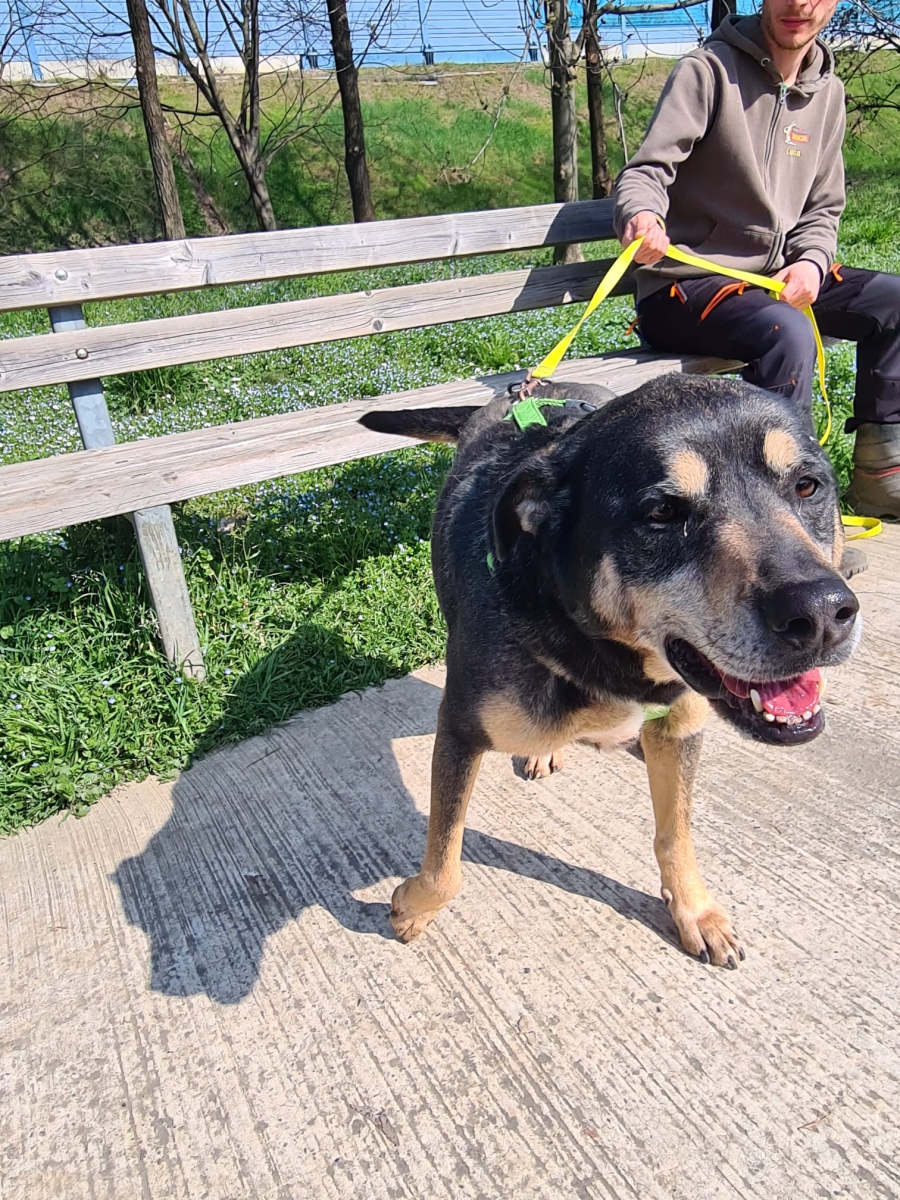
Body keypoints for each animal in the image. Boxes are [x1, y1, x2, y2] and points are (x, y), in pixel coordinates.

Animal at [359, 374, 861, 967]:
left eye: (807, 486)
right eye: (662, 511)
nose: (822, 614)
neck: (611, 657)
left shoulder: (680, 729)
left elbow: (675, 833)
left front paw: (695, 911)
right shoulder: (460, 729)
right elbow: (445, 858)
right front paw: (414, 907)